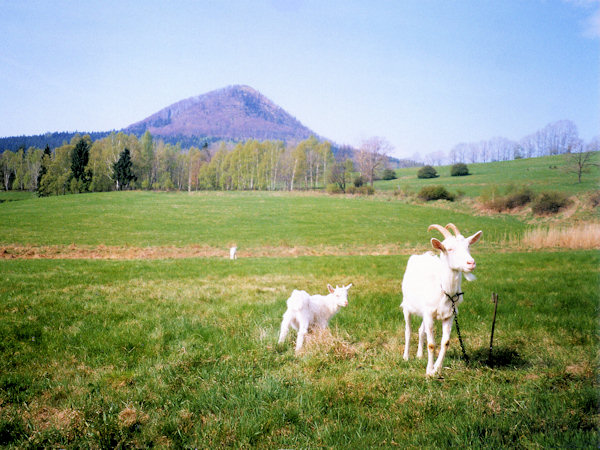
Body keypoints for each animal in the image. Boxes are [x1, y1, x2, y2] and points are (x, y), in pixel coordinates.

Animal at [404, 224, 482, 376]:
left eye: (468, 246)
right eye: (449, 249)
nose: (471, 263)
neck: (445, 291)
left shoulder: (449, 315)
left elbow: (445, 342)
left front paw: (437, 369)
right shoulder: (429, 314)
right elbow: (431, 344)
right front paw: (429, 371)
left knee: (421, 330)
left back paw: (419, 355)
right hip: (407, 306)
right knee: (408, 330)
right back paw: (406, 357)